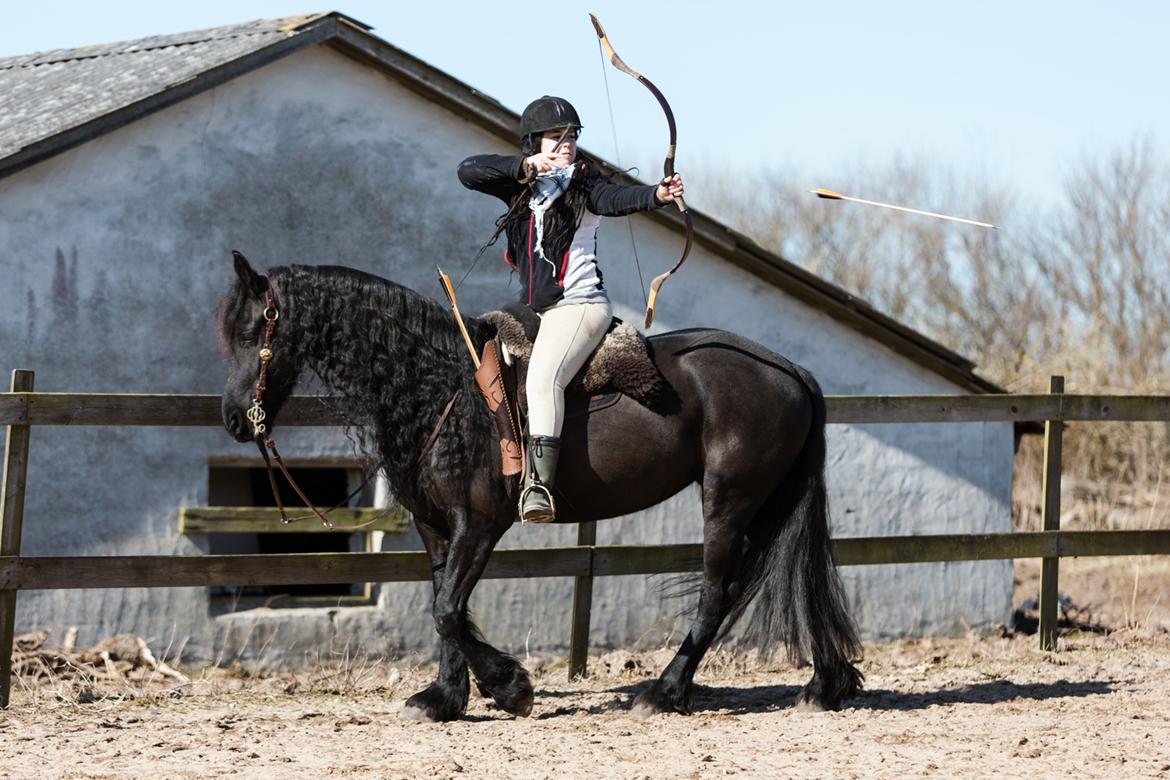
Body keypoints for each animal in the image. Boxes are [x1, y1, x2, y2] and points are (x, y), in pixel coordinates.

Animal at [219, 254, 861, 720]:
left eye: (253, 333)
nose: (233, 418)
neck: (440, 385)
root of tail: (788, 369)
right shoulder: (435, 526)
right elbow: (442, 605)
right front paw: (445, 698)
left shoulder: (479, 525)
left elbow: (448, 609)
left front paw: (510, 688)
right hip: (768, 502)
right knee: (797, 576)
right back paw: (825, 684)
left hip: (728, 501)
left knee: (716, 593)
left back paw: (665, 692)